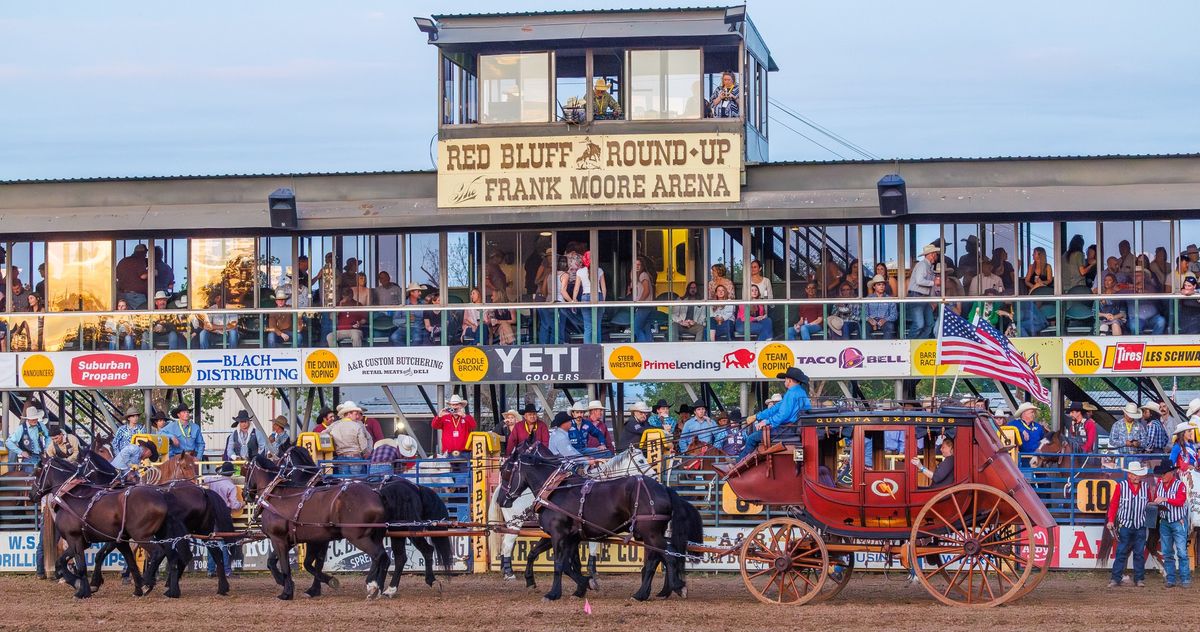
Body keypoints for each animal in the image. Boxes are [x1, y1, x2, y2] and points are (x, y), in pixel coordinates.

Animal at [496, 438, 700, 602]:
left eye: (505, 470)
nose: (500, 499)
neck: (555, 490)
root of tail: (664, 489)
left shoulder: (558, 534)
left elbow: (560, 564)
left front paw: (554, 593)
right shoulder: (568, 536)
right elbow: (556, 561)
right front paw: (582, 585)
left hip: (651, 534)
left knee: (666, 556)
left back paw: (654, 592)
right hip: (650, 534)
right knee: (661, 557)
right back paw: (659, 590)